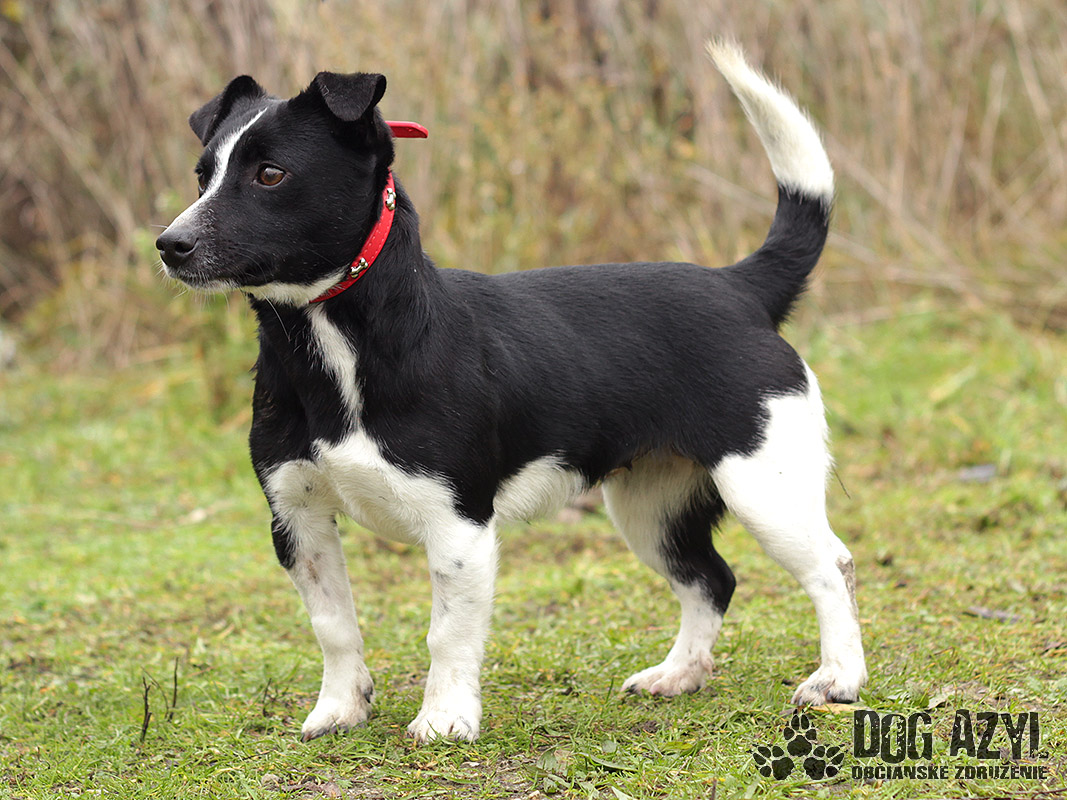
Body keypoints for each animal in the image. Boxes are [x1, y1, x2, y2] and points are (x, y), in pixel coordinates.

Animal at [156, 41, 866, 743]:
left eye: (270, 175)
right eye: (202, 175)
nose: (169, 245)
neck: (339, 349)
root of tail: (738, 285)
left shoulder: (458, 524)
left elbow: (447, 633)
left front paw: (444, 718)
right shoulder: (297, 518)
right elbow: (334, 626)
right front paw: (340, 709)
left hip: (764, 487)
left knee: (830, 567)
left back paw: (837, 680)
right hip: (650, 506)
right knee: (709, 581)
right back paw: (678, 674)